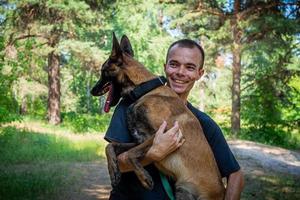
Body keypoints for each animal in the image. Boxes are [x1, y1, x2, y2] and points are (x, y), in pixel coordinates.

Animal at [91, 33, 225, 199]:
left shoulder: (163, 134)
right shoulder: (141, 140)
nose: (92, 91)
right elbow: (111, 146)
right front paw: (113, 171)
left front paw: (144, 177)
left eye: (103, 72)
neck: (146, 91)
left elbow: (130, 154)